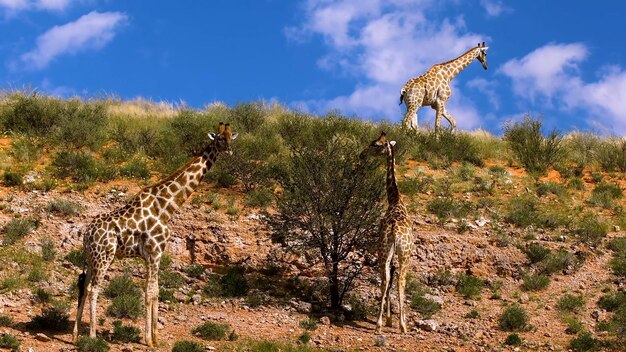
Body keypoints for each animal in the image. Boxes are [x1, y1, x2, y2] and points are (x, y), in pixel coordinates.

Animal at [72, 122, 238, 348]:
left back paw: (75, 335)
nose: (229, 151)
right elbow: (151, 292)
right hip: (104, 256)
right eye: (220, 138)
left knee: (83, 286)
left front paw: (156, 338)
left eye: (231, 137)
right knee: (93, 289)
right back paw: (92, 337)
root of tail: (87, 233)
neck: (167, 206)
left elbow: (155, 291)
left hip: (91, 258)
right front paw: (149, 340)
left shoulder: (153, 255)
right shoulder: (155, 253)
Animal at [358, 132, 412, 332]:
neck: (395, 200)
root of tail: (395, 229)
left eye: (374, 144)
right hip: (402, 253)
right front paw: (393, 320)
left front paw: (388, 319)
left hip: (385, 250)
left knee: (386, 279)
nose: (361, 155)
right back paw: (402, 325)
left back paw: (380, 324)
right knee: (399, 280)